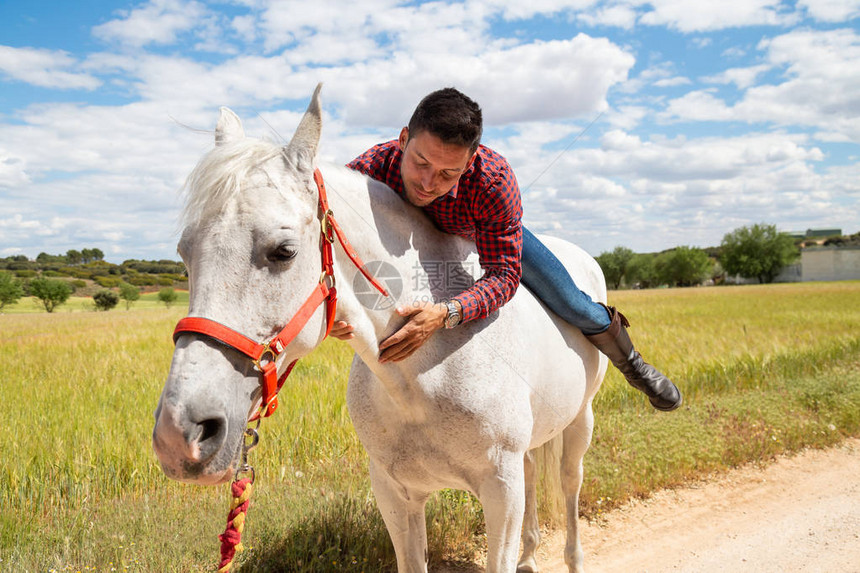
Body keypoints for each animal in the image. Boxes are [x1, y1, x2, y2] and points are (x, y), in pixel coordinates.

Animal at [151, 86, 608, 572]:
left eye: (284, 251)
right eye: (184, 253)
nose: (179, 435)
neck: (422, 376)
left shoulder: (501, 495)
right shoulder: (395, 494)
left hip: (580, 422)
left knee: (570, 483)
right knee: (536, 474)